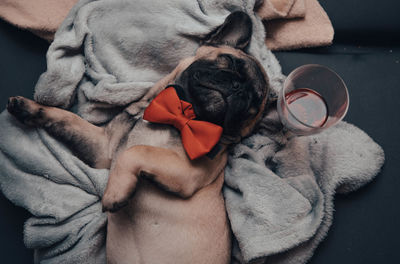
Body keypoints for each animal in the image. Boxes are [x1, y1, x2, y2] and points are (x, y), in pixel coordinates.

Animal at [6, 10, 270, 264]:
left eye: (254, 103)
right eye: (229, 61)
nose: (239, 89)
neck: (183, 113)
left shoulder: (186, 171)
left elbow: (137, 152)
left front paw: (115, 193)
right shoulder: (103, 147)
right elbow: (66, 117)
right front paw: (28, 108)